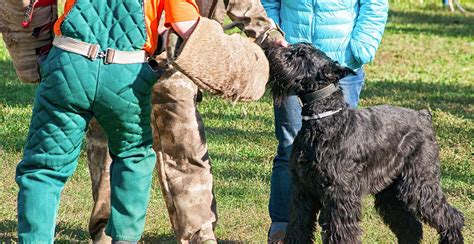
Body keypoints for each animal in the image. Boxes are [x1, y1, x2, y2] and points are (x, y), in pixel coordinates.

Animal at [264, 43, 464, 243]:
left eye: (301, 54)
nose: (271, 49)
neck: (323, 119)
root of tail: (424, 116)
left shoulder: (339, 193)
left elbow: (340, 232)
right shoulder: (303, 191)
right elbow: (298, 226)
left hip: (419, 184)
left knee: (451, 217)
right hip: (391, 193)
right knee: (411, 226)